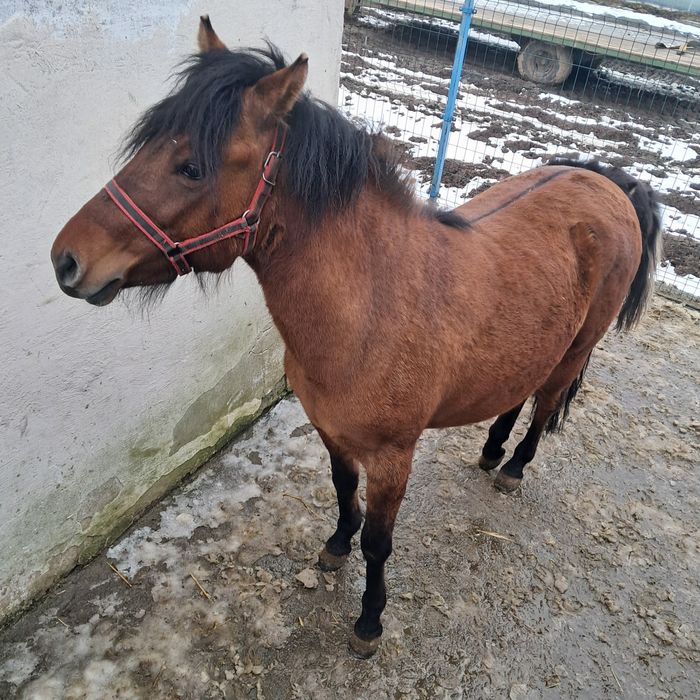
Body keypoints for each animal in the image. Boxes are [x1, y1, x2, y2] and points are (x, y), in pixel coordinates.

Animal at [50, 17, 661, 658]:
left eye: (191, 166)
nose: (66, 260)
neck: (370, 307)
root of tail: (611, 182)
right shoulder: (331, 430)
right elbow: (344, 493)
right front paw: (335, 546)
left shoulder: (393, 458)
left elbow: (379, 542)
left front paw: (369, 620)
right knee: (517, 394)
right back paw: (492, 450)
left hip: (575, 349)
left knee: (544, 405)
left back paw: (513, 467)